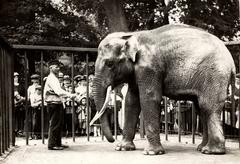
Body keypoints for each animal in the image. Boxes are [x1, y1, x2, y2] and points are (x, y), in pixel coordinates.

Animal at [92, 24, 236, 155]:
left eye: (109, 63)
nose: (112, 140)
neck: (132, 35)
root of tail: (231, 61)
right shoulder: (136, 73)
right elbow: (131, 101)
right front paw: (122, 148)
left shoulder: (149, 68)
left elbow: (149, 98)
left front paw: (151, 152)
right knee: (201, 108)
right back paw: (201, 148)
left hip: (215, 75)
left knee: (208, 106)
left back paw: (211, 151)